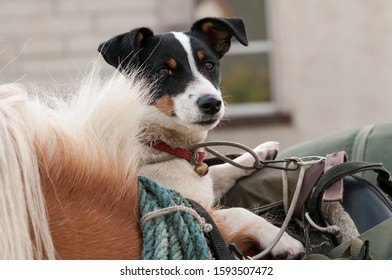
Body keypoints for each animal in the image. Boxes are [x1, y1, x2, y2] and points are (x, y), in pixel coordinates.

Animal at [97, 17, 304, 258]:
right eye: (164, 71)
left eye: (209, 65)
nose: (212, 103)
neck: (165, 146)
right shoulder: (195, 210)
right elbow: (239, 211)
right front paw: (282, 239)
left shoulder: (203, 188)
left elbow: (220, 171)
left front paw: (258, 153)